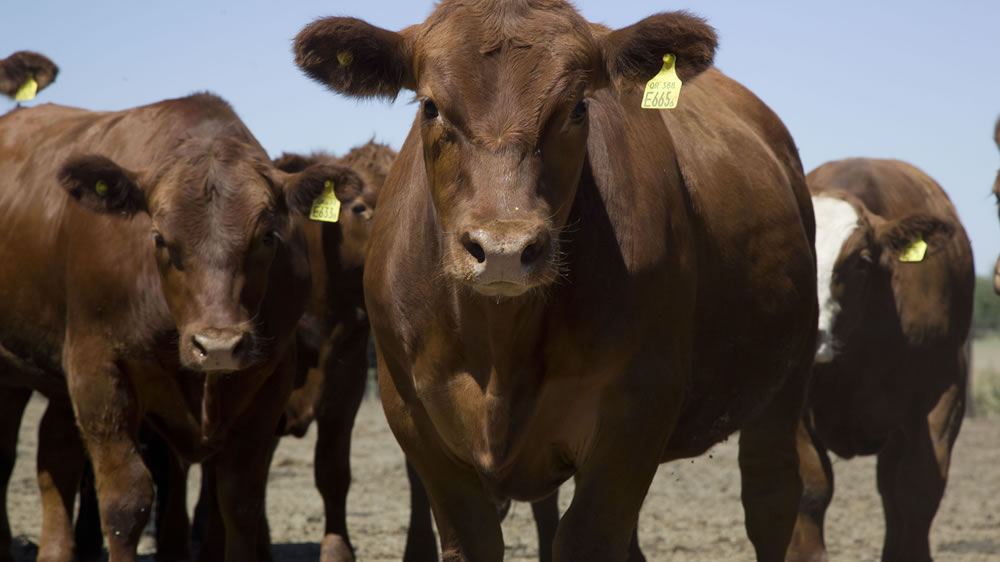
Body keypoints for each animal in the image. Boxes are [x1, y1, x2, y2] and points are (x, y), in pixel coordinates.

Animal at [0, 93, 364, 560]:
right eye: (158, 237)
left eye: (268, 236)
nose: (219, 345)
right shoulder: (96, 369)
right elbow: (126, 501)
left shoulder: (270, 377)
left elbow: (241, 498)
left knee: (54, 455)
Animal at [292, 1, 816, 560]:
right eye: (430, 107)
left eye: (578, 108)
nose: (503, 250)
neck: (500, 353)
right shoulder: (416, 422)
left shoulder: (634, 418)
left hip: (786, 385)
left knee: (772, 495)